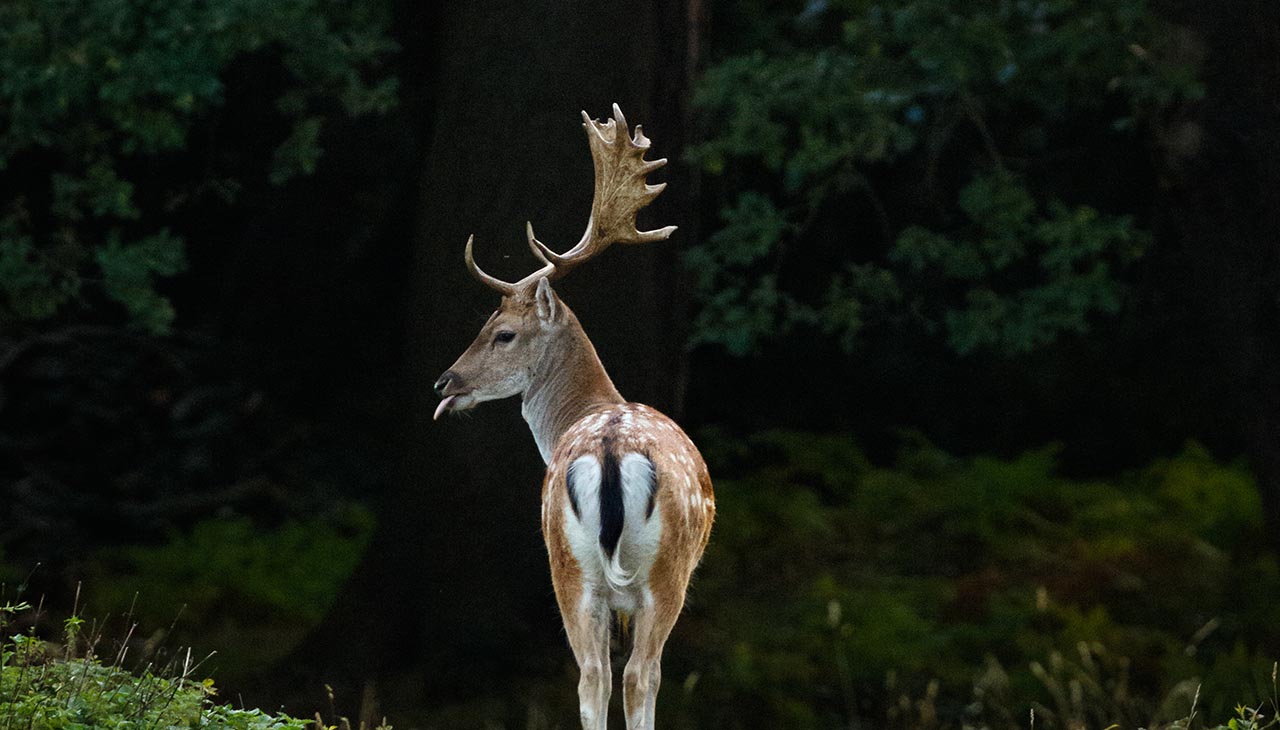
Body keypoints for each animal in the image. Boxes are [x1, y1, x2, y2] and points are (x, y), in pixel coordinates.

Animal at [430, 106, 711, 727]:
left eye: (502, 333)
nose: (445, 383)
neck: (594, 406)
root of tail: (608, 450)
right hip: (649, 573)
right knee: (631, 676)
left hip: (577, 569)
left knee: (601, 676)